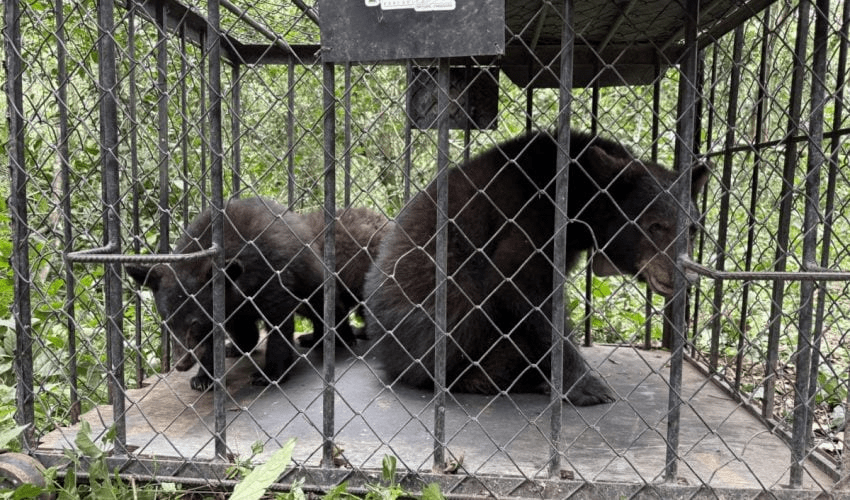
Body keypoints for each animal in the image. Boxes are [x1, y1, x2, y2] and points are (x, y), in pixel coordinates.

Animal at [126, 196, 339, 391]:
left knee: (322, 306)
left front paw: (270, 374)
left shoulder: (273, 275)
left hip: (312, 278)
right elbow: (210, 343)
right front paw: (204, 378)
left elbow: (278, 324)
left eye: (194, 323)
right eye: (168, 323)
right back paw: (236, 347)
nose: (181, 364)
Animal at [363, 130, 709, 406]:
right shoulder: (533, 217)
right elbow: (519, 283)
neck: (580, 193)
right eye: (655, 226)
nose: (686, 276)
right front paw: (586, 385)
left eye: (693, 229)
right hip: (437, 314)